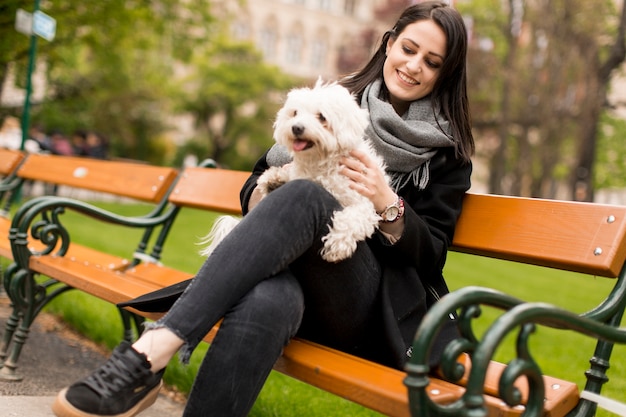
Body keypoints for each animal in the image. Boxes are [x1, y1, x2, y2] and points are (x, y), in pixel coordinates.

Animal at [201, 79, 386, 262]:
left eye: (322, 117)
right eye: (295, 113)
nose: (296, 127)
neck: (321, 163)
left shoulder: (363, 200)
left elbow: (352, 218)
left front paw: (336, 244)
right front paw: (274, 178)